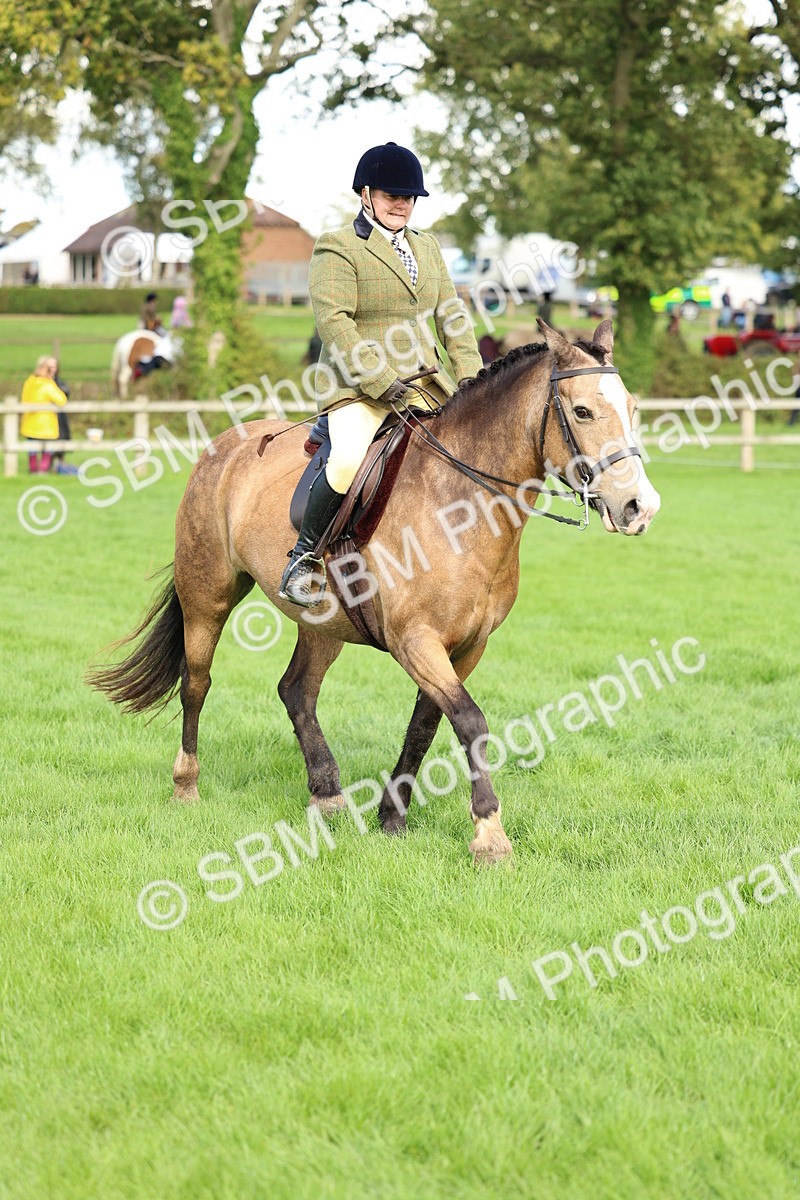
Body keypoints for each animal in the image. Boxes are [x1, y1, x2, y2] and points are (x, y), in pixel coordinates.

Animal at [89, 320, 661, 864]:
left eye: (632, 408)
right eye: (583, 411)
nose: (639, 506)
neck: (461, 504)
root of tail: (225, 443)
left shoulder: (468, 646)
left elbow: (426, 724)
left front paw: (392, 815)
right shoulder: (416, 640)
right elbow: (470, 721)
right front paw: (489, 835)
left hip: (323, 621)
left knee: (297, 690)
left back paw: (327, 795)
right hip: (207, 594)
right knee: (197, 682)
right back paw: (187, 785)